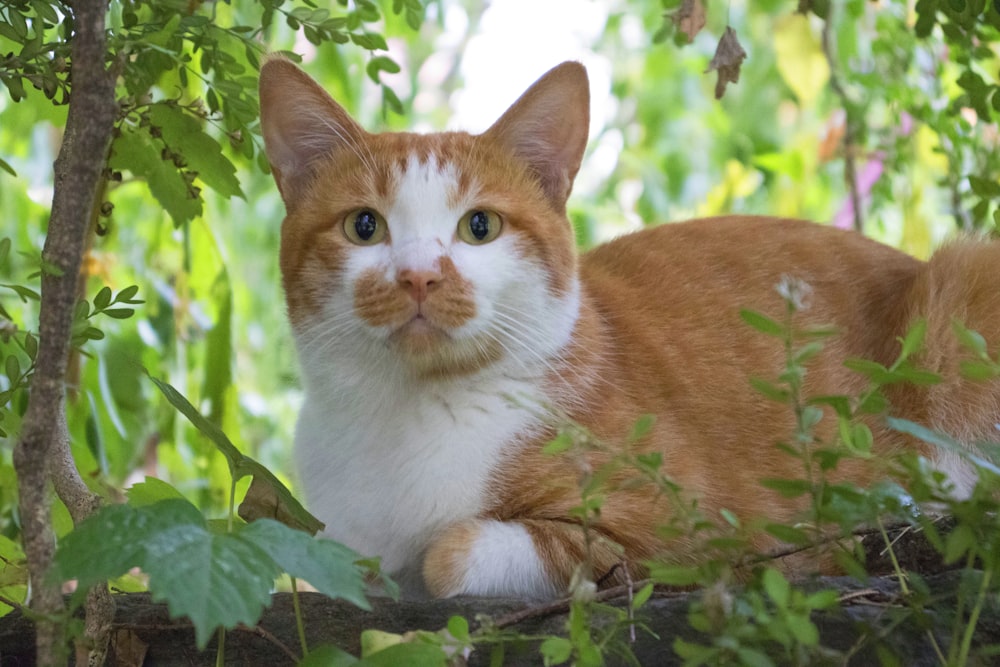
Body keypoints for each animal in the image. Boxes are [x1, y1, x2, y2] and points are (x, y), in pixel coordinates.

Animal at [258, 57, 1000, 600]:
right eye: (364, 226)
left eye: (480, 226)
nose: (418, 277)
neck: (408, 411)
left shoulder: (690, 535)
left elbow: (451, 554)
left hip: (964, 287)